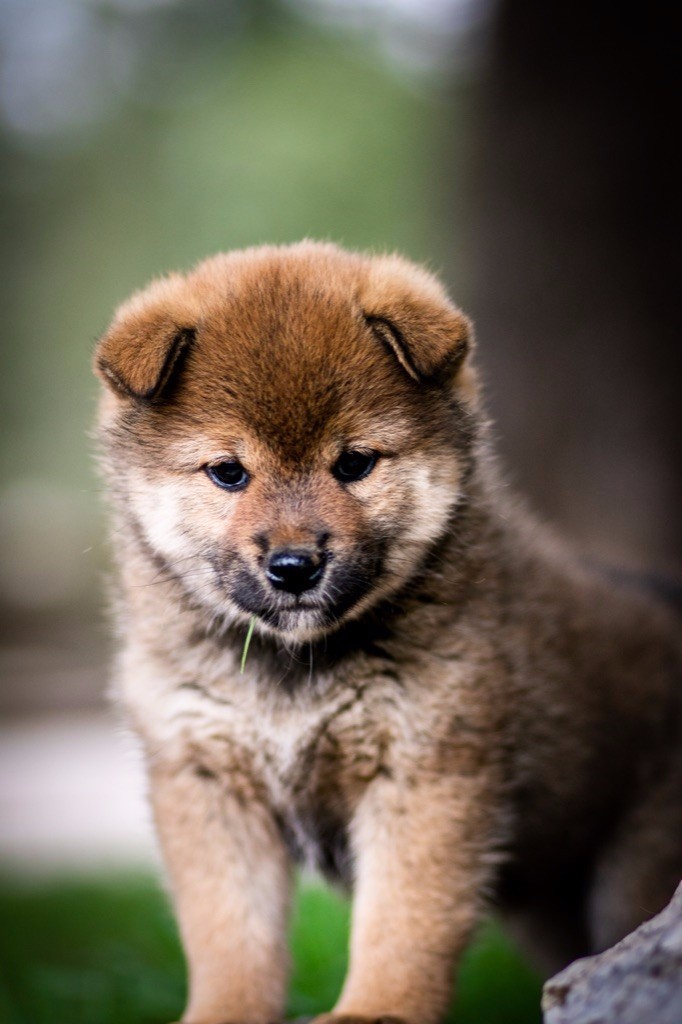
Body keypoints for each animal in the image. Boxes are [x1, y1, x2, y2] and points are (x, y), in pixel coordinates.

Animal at [94, 241, 679, 1024]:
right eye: (228, 473)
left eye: (354, 463)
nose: (294, 566)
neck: (294, 671)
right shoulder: (207, 783)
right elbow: (230, 938)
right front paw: (222, 1014)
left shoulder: (427, 773)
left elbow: (402, 921)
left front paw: (377, 1009)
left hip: (633, 875)